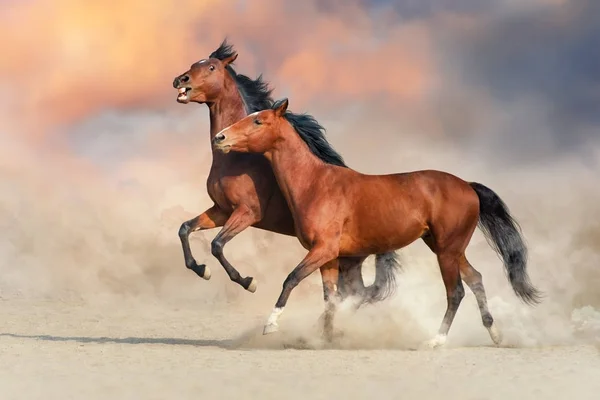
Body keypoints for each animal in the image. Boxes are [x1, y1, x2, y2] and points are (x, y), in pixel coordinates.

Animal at [171, 41, 400, 304]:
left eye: (211, 67)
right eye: (193, 65)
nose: (180, 80)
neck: (238, 158)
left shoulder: (246, 213)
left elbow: (217, 244)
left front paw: (248, 282)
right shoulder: (221, 210)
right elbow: (185, 228)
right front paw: (201, 269)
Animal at [213, 99, 540, 346]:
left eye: (258, 121)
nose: (221, 138)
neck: (316, 184)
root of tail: (468, 186)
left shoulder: (322, 250)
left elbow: (292, 279)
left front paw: (272, 324)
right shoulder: (329, 258)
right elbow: (331, 298)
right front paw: (326, 336)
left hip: (447, 250)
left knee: (456, 291)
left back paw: (436, 340)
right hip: (447, 247)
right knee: (476, 280)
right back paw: (495, 334)